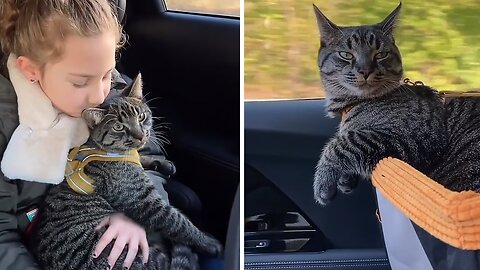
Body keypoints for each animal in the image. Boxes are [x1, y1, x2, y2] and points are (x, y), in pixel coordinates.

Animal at [28, 74, 219, 270]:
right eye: (118, 127)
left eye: (141, 116)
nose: (140, 135)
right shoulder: (145, 201)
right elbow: (179, 223)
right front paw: (208, 242)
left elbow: (141, 157)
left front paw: (162, 164)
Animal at [312, 3, 450, 205]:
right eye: (346, 55)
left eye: (381, 54)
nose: (365, 71)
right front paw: (346, 177)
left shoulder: (410, 137)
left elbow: (340, 143)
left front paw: (323, 181)